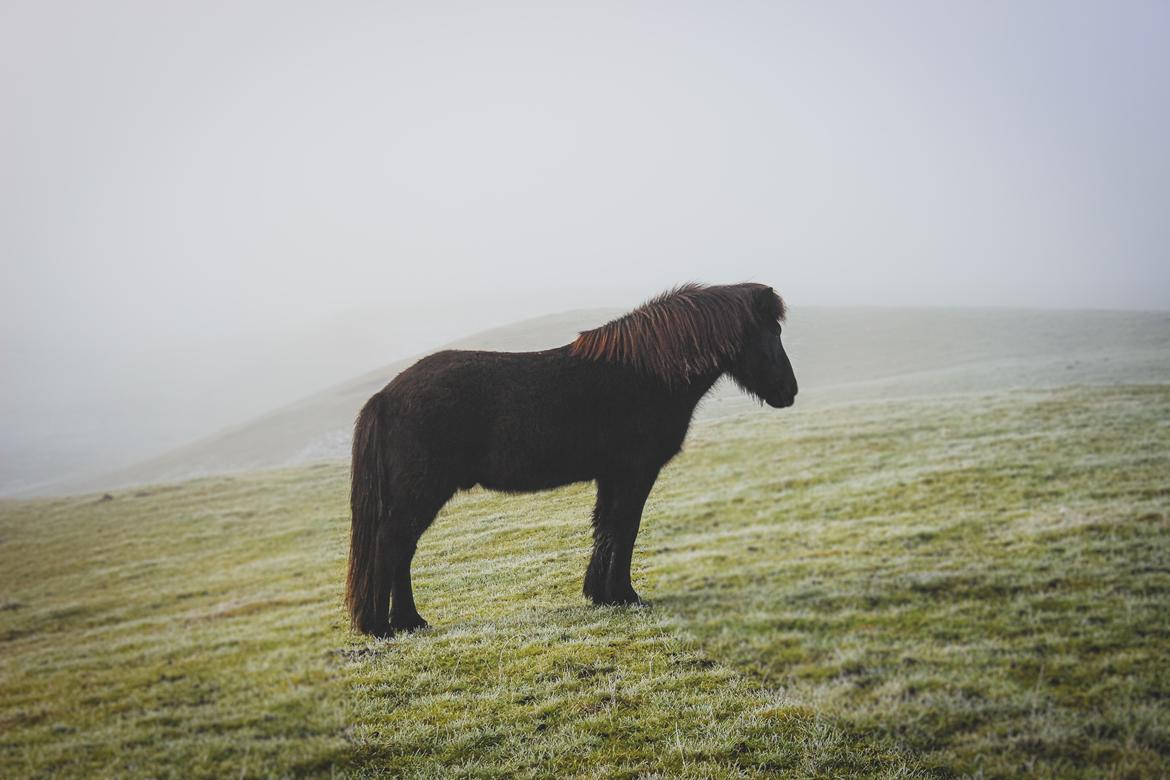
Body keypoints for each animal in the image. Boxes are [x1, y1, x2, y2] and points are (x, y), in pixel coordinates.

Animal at [346, 284, 800, 636]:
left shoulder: (612, 475)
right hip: (420, 493)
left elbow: (606, 528)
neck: (646, 373)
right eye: (773, 332)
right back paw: (385, 625)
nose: (789, 391)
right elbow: (626, 528)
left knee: (402, 550)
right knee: (393, 545)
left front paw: (601, 594)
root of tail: (384, 396)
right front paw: (625, 595)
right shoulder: (635, 472)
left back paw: (409, 622)